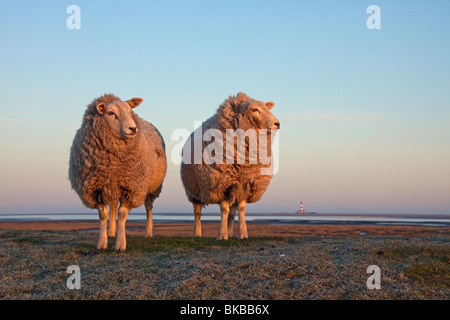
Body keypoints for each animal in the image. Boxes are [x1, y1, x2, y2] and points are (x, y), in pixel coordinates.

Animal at [69, 94, 168, 251]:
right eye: (111, 113)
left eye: (129, 110)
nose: (133, 128)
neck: (113, 164)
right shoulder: (96, 188)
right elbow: (103, 214)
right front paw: (102, 243)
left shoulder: (132, 187)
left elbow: (122, 215)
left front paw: (121, 244)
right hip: (112, 186)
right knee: (114, 206)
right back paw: (111, 232)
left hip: (150, 188)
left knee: (148, 208)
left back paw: (148, 233)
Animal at [180, 91, 280, 239]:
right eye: (254, 109)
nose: (277, 123)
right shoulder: (221, 183)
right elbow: (224, 210)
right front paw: (222, 235)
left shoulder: (245, 183)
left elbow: (241, 209)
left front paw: (242, 234)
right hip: (194, 190)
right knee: (197, 212)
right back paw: (197, 233)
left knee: (232, 213)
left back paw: (231, 233)